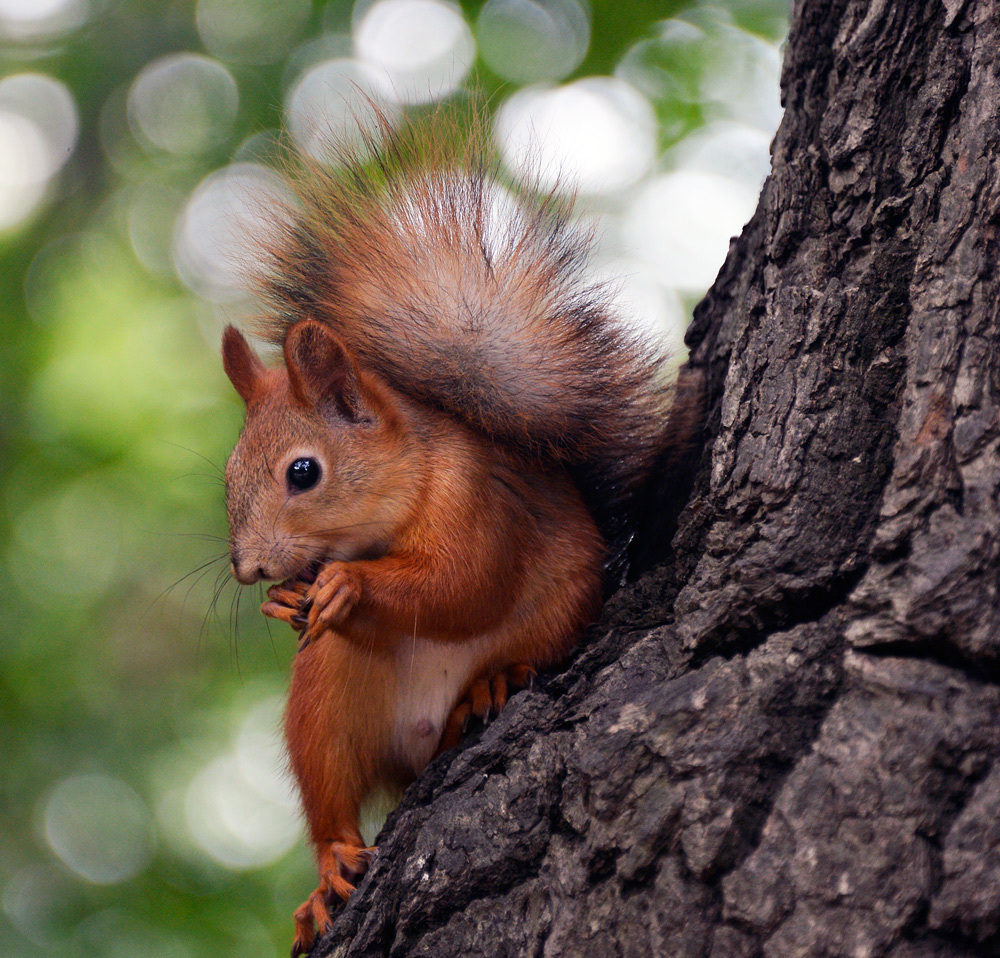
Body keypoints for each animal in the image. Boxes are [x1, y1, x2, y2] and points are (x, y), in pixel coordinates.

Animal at [219, 114, 672, 958]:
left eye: (304, 472)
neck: (400, 497)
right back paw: (329, 870)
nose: (249, 570)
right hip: (327, 697)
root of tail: (422, 734)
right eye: (228, 474)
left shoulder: (479, 500)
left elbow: (464, 585)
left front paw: (346, 584)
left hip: (551, 623)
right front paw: (287, 601)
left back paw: (493, 683)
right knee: (330, 795)